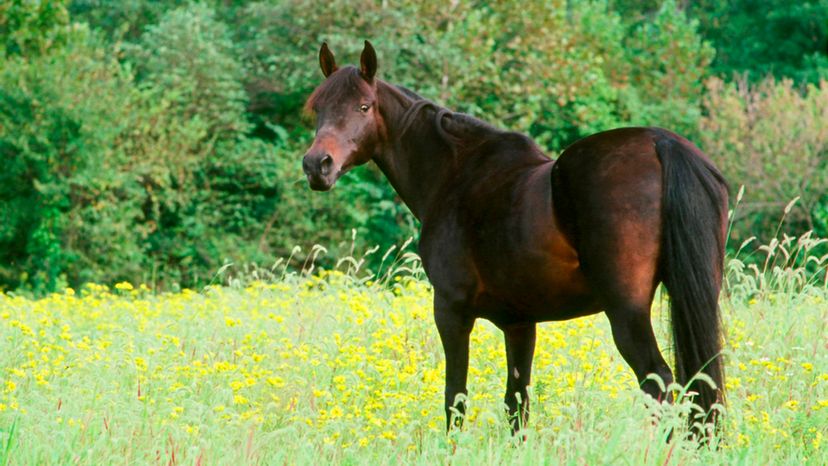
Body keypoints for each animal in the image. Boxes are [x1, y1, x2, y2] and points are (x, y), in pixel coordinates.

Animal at [300, 40, 728, 436]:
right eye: (319, 109)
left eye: (363, 107)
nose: (317, 165)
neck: (455, 173)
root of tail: (660, 144)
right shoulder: (520, 324)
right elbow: (516, 404)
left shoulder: (451, 311)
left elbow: (456, 398)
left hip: (626, 312)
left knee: (660, 384)